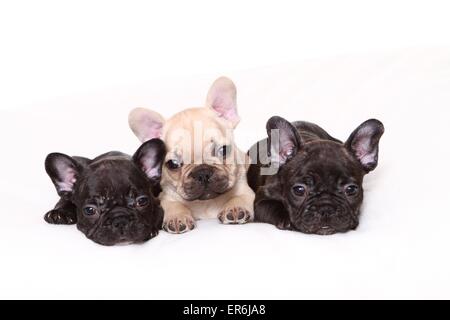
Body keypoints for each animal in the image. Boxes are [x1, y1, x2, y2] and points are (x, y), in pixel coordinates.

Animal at [128, 76, 255, 234]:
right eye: (173, 164)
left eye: (224, 150)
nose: (203, 173)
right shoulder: (166, 197)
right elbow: (173, 205)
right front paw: (177, 217)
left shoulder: (244, 189)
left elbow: (240, 197)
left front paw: (235, 207)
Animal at [248, 117, 384, 235]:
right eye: (299, 190)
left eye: (351, 189)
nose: (326, 209)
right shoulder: (260, 201)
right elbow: (273, 205)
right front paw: (286, 219)